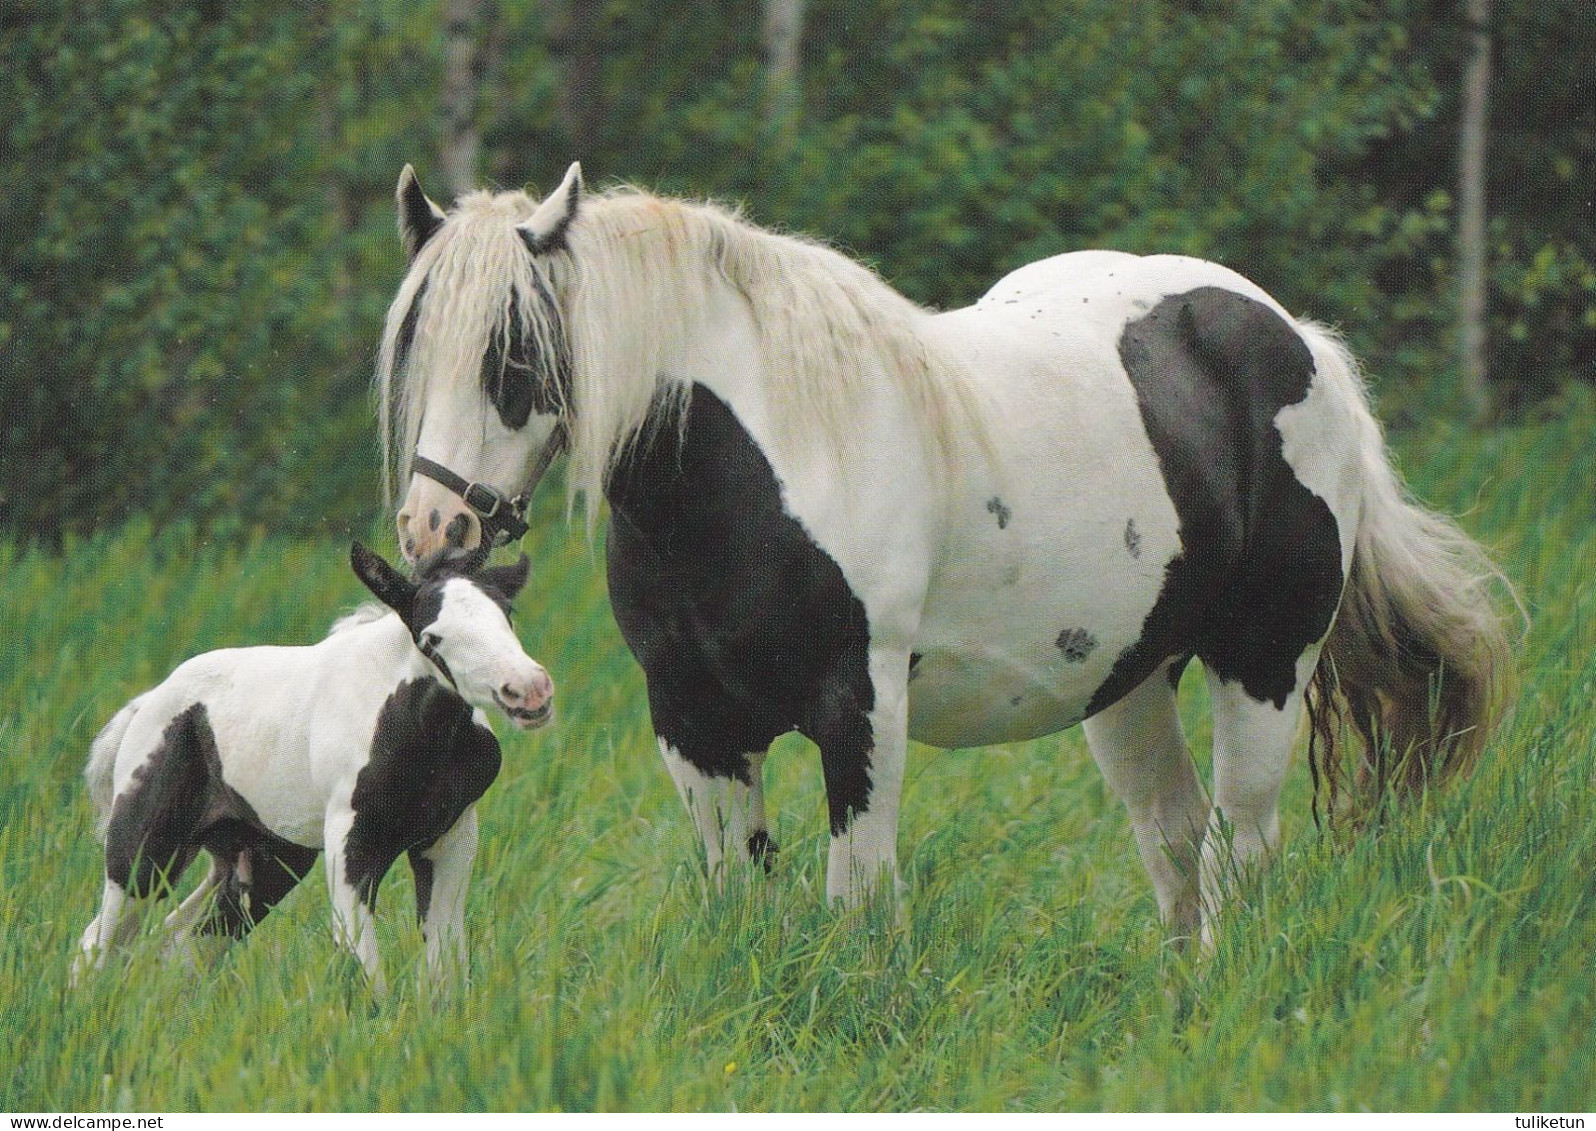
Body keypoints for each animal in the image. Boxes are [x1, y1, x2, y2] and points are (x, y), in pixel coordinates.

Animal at [77, 539, 558, 989]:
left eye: (507, 614)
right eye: (431, 638)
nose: (528, 690)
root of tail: (146, 703)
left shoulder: (450, 837)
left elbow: (445, 964)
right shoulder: (350, 840)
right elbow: (362, 966)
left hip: (263, 860)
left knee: (182, 942)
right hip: (144, 853)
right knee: (98, 944)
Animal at [376, 163, 1506, 944]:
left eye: (515, 351)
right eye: (417, 343)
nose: (435, 532)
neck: (761, 459)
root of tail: (1298, 339)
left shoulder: (860, 704)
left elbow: (859, 897)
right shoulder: (692, 720)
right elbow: (740, 891)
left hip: (1264, 666)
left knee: (1243, 842)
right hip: (1129, 682)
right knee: (1176, 836)